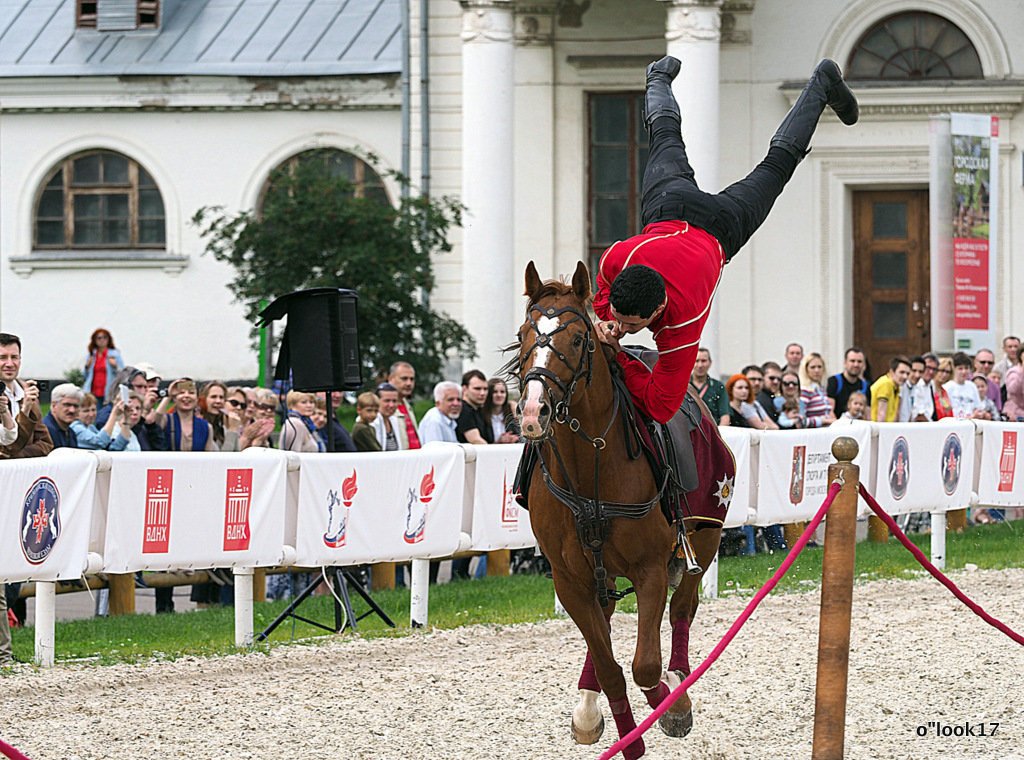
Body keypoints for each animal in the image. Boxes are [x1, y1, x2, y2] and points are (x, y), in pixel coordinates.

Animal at [512, 262, 729, 760]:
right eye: (522, 335)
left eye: (579, 339)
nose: (533, 410)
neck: (591, 463)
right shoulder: (569, 579)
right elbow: (611, 665)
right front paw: (621, 730)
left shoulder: (650, 568)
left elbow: (645, 665)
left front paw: (672, 707)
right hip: (599, 569)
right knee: (608, 620)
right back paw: (589, 707)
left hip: (706, 533)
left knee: (683, 607)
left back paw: (678, 679)